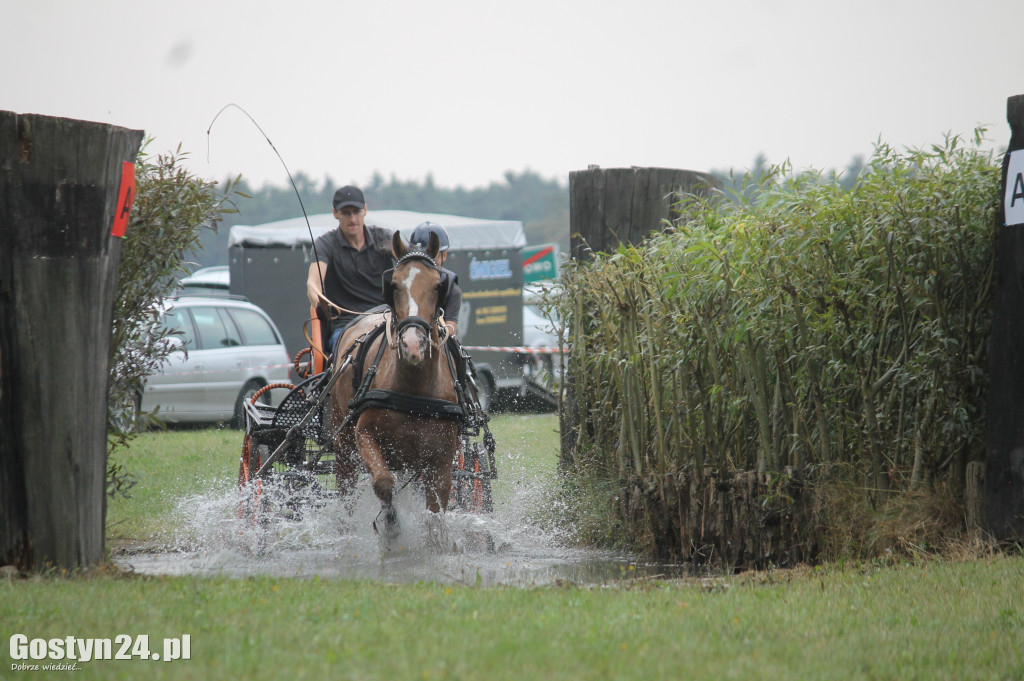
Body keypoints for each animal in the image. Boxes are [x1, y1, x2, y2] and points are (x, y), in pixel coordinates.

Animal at [327, 231, 460, 544]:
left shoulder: (442, 459)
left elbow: (435, 514)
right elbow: (384, 483)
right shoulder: (364, 436)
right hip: (343, 442)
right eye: (394, 284)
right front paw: (391, 524)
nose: (412, 344)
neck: (413, 392)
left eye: (437, 286)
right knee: (346, 491)